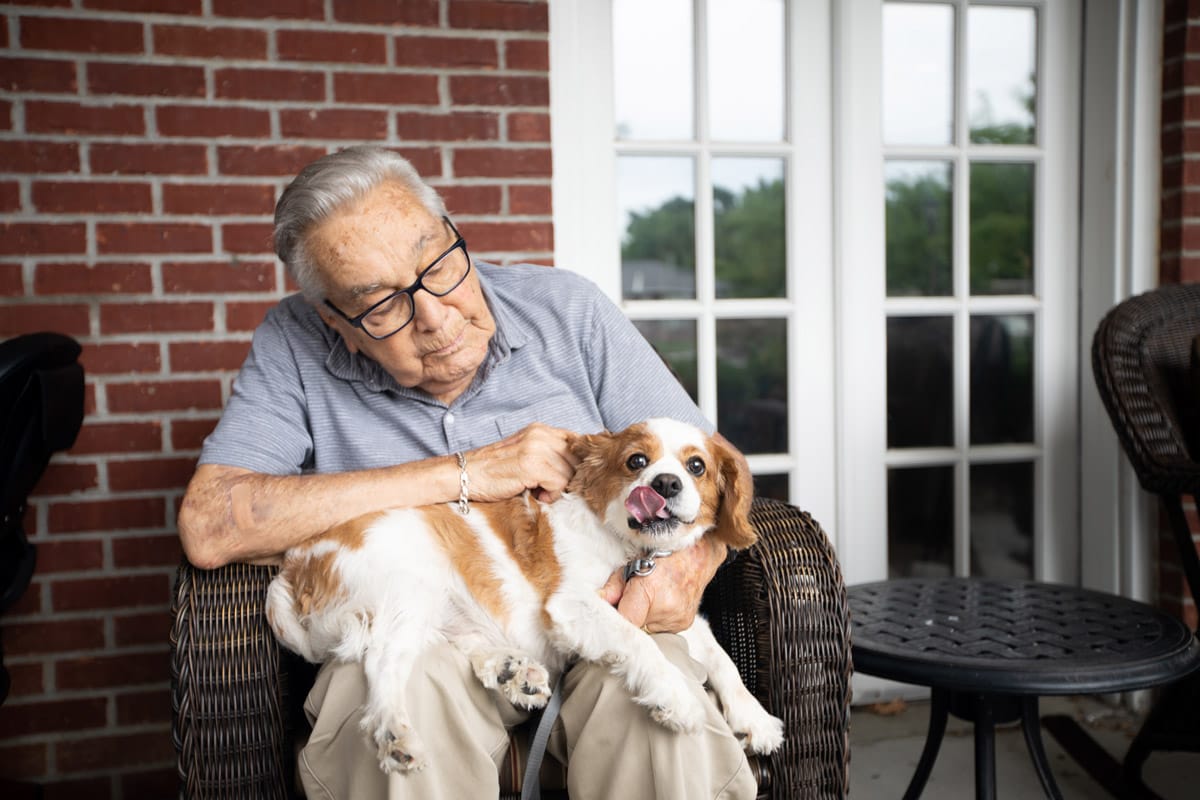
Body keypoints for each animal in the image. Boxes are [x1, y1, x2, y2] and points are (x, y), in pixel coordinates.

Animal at [266, 419, 782, 777]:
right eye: (636, 461)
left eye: (696, 467)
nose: (666, 484)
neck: (629, 551)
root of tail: (293, 568)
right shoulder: (573, 607)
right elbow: (639, 642)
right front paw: (676, 696)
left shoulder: (669, 611)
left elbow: (720, 658)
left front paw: (753, 717)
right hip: (412, 588)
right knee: (383, 664)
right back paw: (396, 735)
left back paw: (513, 673)